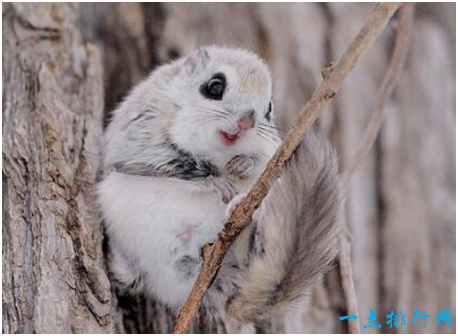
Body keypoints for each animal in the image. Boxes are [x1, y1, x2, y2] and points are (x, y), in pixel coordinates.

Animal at [97, 46, 340, 324]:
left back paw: (240, 211)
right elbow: (171, 163)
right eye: (214, 86)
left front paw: (244, 163)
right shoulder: (142, 136)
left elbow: (264, 162)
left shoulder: (271, 149)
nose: (247, 122)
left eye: (268, 109)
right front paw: (217, 181)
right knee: (130, 277)